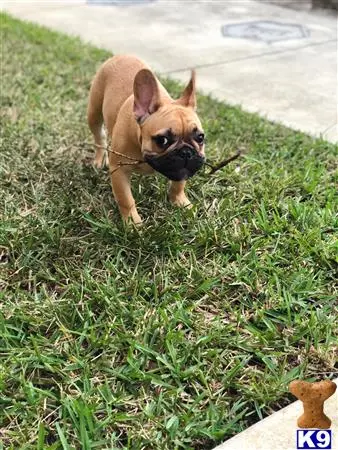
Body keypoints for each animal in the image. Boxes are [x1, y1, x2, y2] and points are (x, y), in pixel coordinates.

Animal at [87, 55, 205, 224]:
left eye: (200, 138)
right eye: (162, 140)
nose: (186, 153)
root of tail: (121, 55)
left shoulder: (181, 170)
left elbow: (178, 185)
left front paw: (181, 202)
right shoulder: (119, 170)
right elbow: (126, 199)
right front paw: (133, 223)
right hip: (94, 113)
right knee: (99, 137)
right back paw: (98, 160)